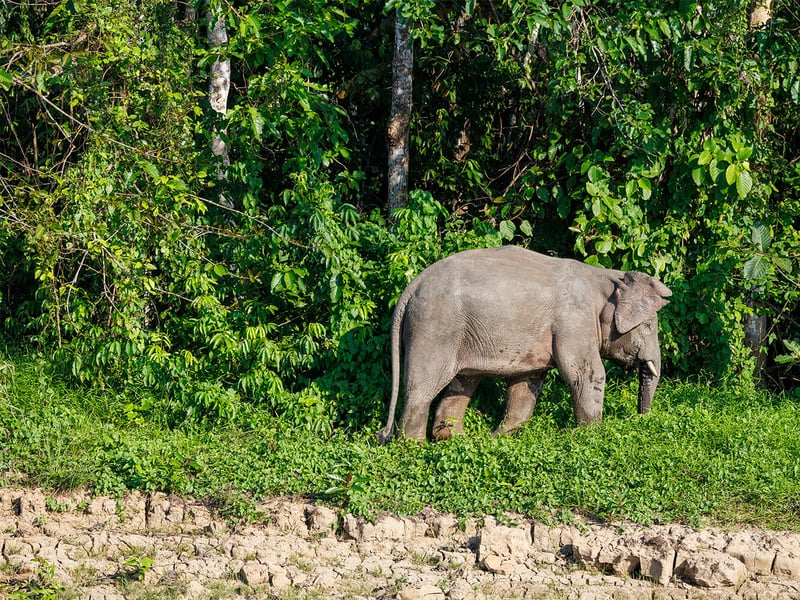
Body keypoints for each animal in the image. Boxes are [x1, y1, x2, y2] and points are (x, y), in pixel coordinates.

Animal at [377, 246, 672, 443]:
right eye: (649, 326)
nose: (639, 419)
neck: (604, 277)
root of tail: (411, 288)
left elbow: (527, 382)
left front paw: (500, 437)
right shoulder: (574, 320)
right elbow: (586, 374)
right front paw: (591, 435)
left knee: (463, 381)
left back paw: (456, 439)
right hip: (435, 328)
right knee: (423, 387)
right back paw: (414, 446)